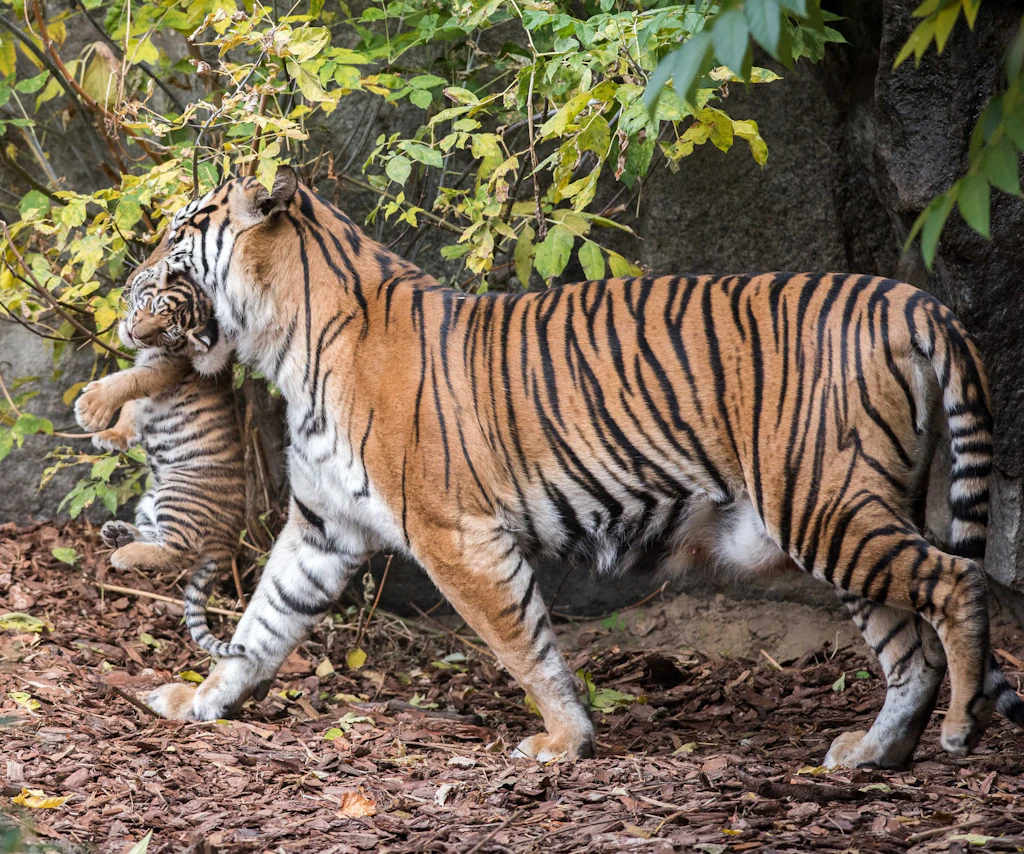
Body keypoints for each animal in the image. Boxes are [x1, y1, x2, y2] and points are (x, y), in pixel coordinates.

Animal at [74, 265, 247, 660]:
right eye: (150, 306)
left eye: (167, 331)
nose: (137, 333)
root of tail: (229, 536)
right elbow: (131, 407)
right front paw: (113, 435)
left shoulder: (163, 369)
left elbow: (127, 382)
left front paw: (91, 410)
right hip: (150, 498)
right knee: (162, 539)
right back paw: (119, 533)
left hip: (178, 495)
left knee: (179, 552)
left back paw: (124, 554)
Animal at [142, 166, 1024, 769]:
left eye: (182, 231)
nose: (134, 277)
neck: (284, 344)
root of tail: (910, 299)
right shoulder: (323, 527)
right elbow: (261, 622)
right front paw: (201, 698)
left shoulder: (457, 535)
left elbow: (523, 645)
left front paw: (564, 741)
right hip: (841, 513)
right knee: (907, 650)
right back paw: (873, 753)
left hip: (825, 503)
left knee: (955, 579)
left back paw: (957, 728)